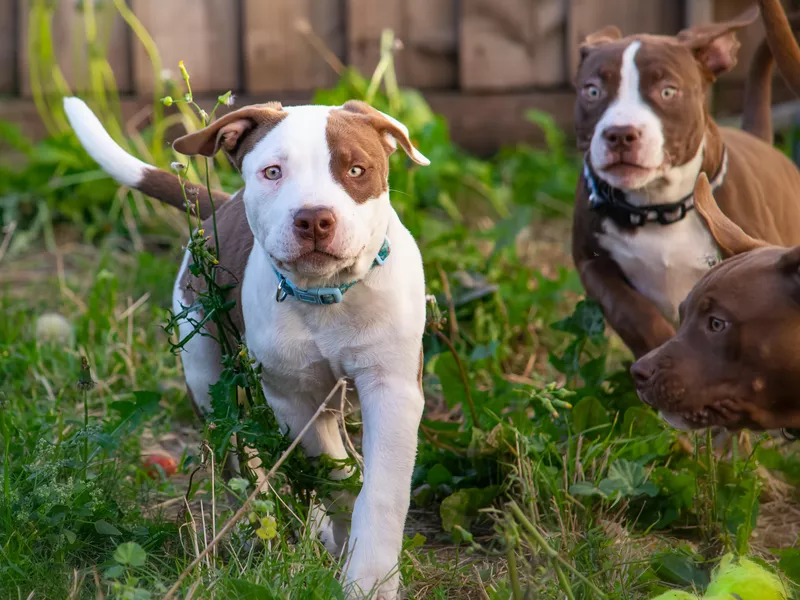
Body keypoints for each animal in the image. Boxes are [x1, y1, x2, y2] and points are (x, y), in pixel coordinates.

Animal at [64, 96, 432, 596]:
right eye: (273, 172)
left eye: (357, 170)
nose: (314, 218)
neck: (326, 296)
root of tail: (224, 206)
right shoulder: (293, 396)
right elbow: (331, 470)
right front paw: (343, 537)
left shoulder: (391, 386)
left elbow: (381, 491)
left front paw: (369, 578)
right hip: (208, 379)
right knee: (242, 461)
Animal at [572, 7, 800, 358]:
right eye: (592, 90)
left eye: (668, 91)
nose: (620, 134)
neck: (658, 207)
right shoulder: (591, 264)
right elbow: (631, 312)